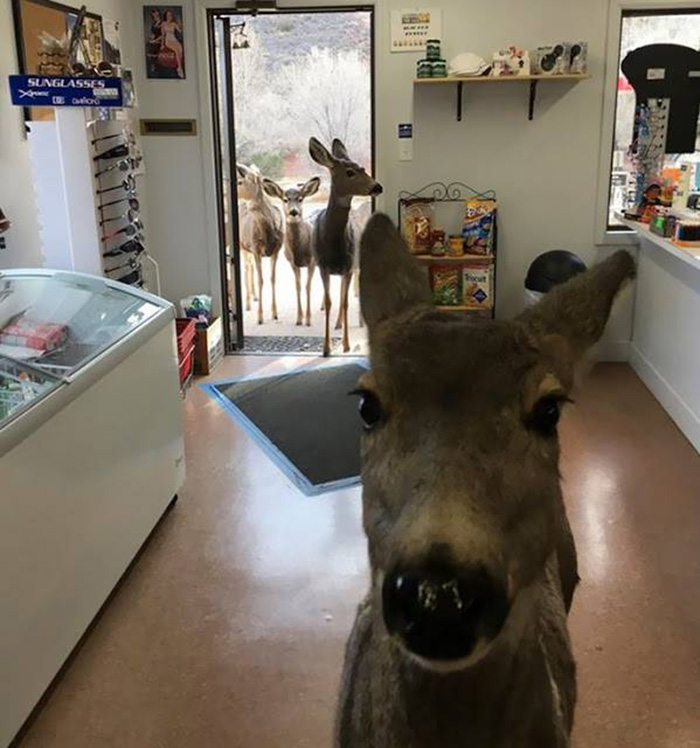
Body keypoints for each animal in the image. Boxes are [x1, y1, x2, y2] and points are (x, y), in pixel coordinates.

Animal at [237, 165, 284, 322]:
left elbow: (272, 279)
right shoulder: (255, 248)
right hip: (243, 247)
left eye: (240, 181)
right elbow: (261, 280)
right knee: (246, 268)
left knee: (249, 267)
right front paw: (260, 316)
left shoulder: (276, 251)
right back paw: (247, 303)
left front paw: (275, 313)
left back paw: (254, 296)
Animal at [262, 178, 322, 328]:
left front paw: (308, 319)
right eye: (285, 199)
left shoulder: (312, 261)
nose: (293, 212)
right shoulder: (292, 263)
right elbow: (298, 286)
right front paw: (299, 319)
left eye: (300, 199)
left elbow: (307, 287)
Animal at [308, 139, 380, 358]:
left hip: (355, 264)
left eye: (363, 168)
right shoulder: (323, 266)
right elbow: (329, 302)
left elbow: (346, 302)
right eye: (349, 172)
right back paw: (337, 325)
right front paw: (326, 348)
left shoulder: (348, 265)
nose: (377, 186)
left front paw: (347, 344)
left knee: (345, 296)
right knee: (338, 296)